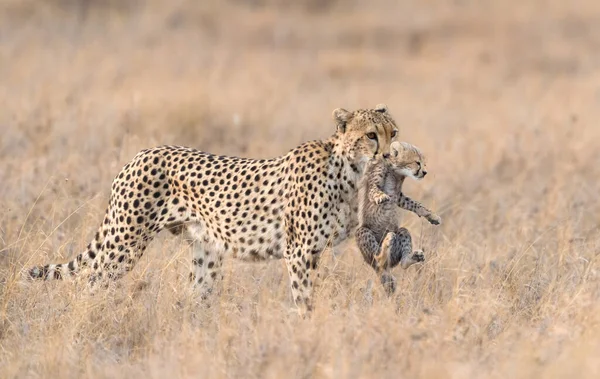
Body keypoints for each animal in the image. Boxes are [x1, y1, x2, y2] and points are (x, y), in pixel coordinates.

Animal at [30, 104, 400, 314]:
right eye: (371, 135)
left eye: (393, 132)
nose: (389, 155)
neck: (349, 170)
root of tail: (142, 153)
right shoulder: (299, 251)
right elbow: (304, 298)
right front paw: (307, 329)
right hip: (125, 243)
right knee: (91, 282)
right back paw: (88, 316)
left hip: (205, 253)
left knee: (196, 296)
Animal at [356, 141, 440, 296]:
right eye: (417, 162)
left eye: (424, 164)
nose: (425, 172)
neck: (396, 172)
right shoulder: (373, 181)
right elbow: (374, 191)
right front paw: (381, 197)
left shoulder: (399, 197)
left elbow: (414, 203)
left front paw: (432, 216)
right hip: (364, 234)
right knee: (378, 260)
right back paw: (387, 243)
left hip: (399, 237)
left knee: (400, 256)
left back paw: (411, 257)